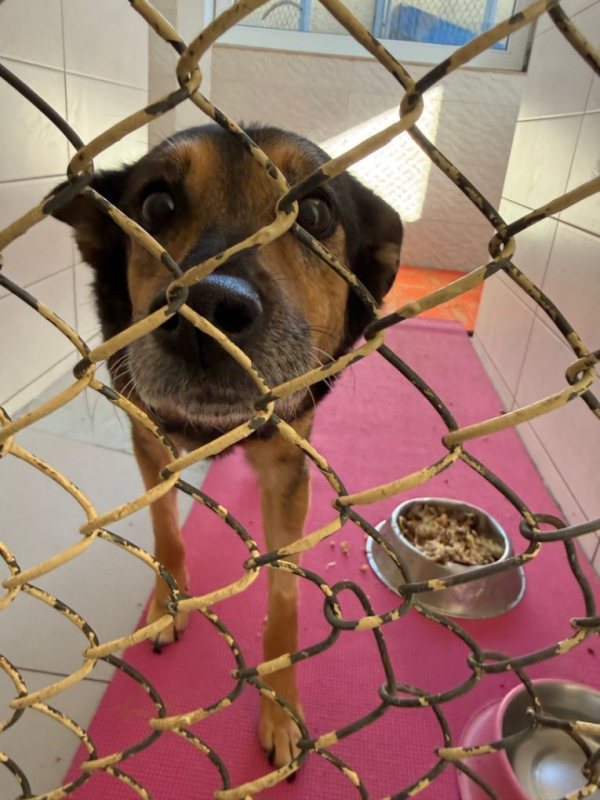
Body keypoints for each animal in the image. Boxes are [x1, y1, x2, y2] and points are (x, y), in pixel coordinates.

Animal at [52, 124, 402, 767]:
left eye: (314, 213)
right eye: (156, 206)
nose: (207, 311)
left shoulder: (289, 465)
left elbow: (285, 601)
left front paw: (280, 710)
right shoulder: (150, 442)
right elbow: (166, 529)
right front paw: (167, 608)